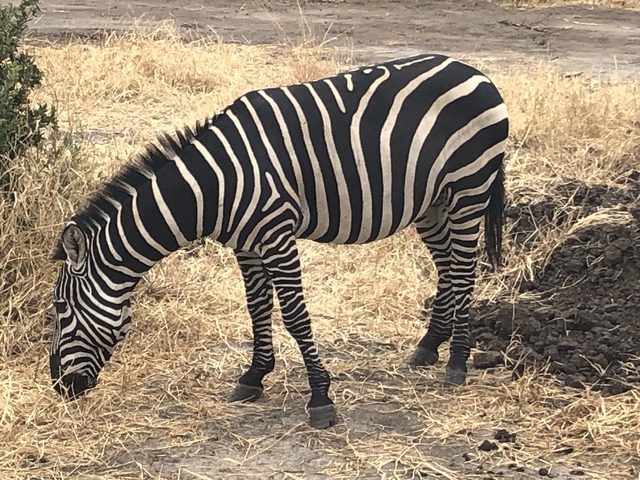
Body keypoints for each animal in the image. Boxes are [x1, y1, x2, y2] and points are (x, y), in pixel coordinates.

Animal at [50, 53, 508, 429]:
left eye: (60, 310)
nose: (58, 385)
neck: (212, 188)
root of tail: (476, 72)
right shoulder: (245, 244)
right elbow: (256, 309)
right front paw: (253, 377)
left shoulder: (276, 236)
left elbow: (294, 315)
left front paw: (320, 397)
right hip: (432, 202)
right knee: (447, 267)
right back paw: (429, 347)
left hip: (469, 188)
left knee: (464, 271)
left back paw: (457, 364)